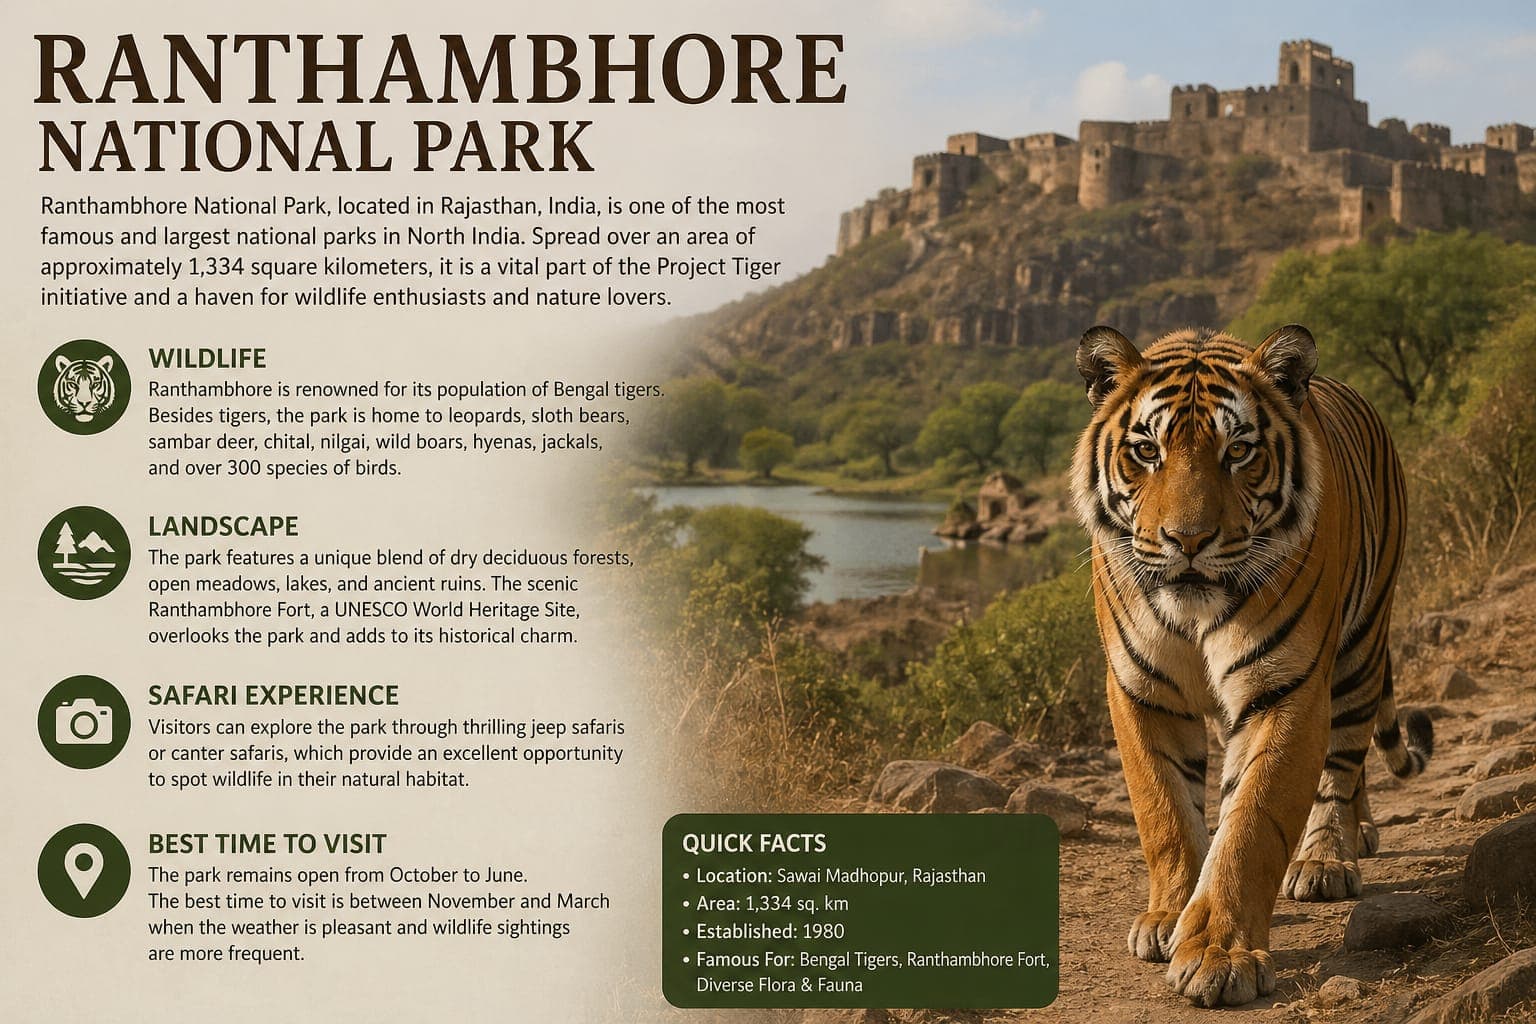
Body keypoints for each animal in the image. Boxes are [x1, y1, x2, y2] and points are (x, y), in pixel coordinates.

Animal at [1069, 324, 1433, 1008]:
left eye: (1237, 451)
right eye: (1147, 451)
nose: (1187, 540)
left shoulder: (1286, 687)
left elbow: (1251, 826)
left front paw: (1219, 955)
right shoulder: (1142, 690)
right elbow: (1165, 811)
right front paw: (1169, 917)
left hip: (1361, 648)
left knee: (1344, 762)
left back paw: (1327, 858)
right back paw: (1361, 834)